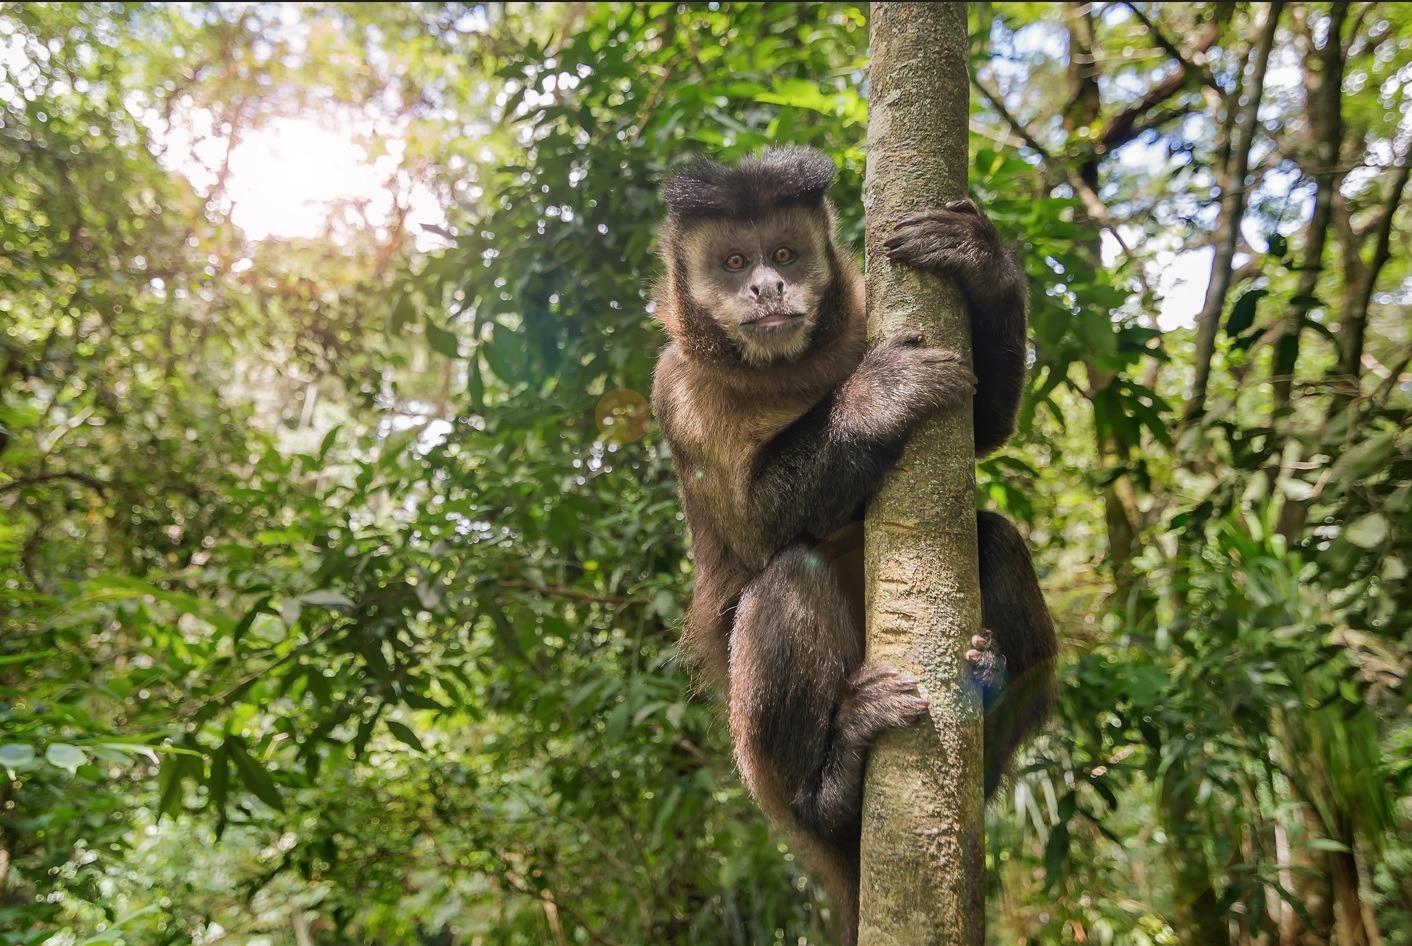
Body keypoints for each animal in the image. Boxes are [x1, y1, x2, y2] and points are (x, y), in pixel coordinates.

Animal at [646, 150, 1056, 946]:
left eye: (784, 254)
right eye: (734, 262)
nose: (767, 286)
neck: (781, 372)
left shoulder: (865, 308)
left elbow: (986, 427)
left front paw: (981, 260)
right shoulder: (675, 389)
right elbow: (756, 530)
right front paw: (878, 394)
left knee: (992, 535)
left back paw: (992, 697)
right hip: (759, 774)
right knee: (788, 573)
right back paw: (830, 791)